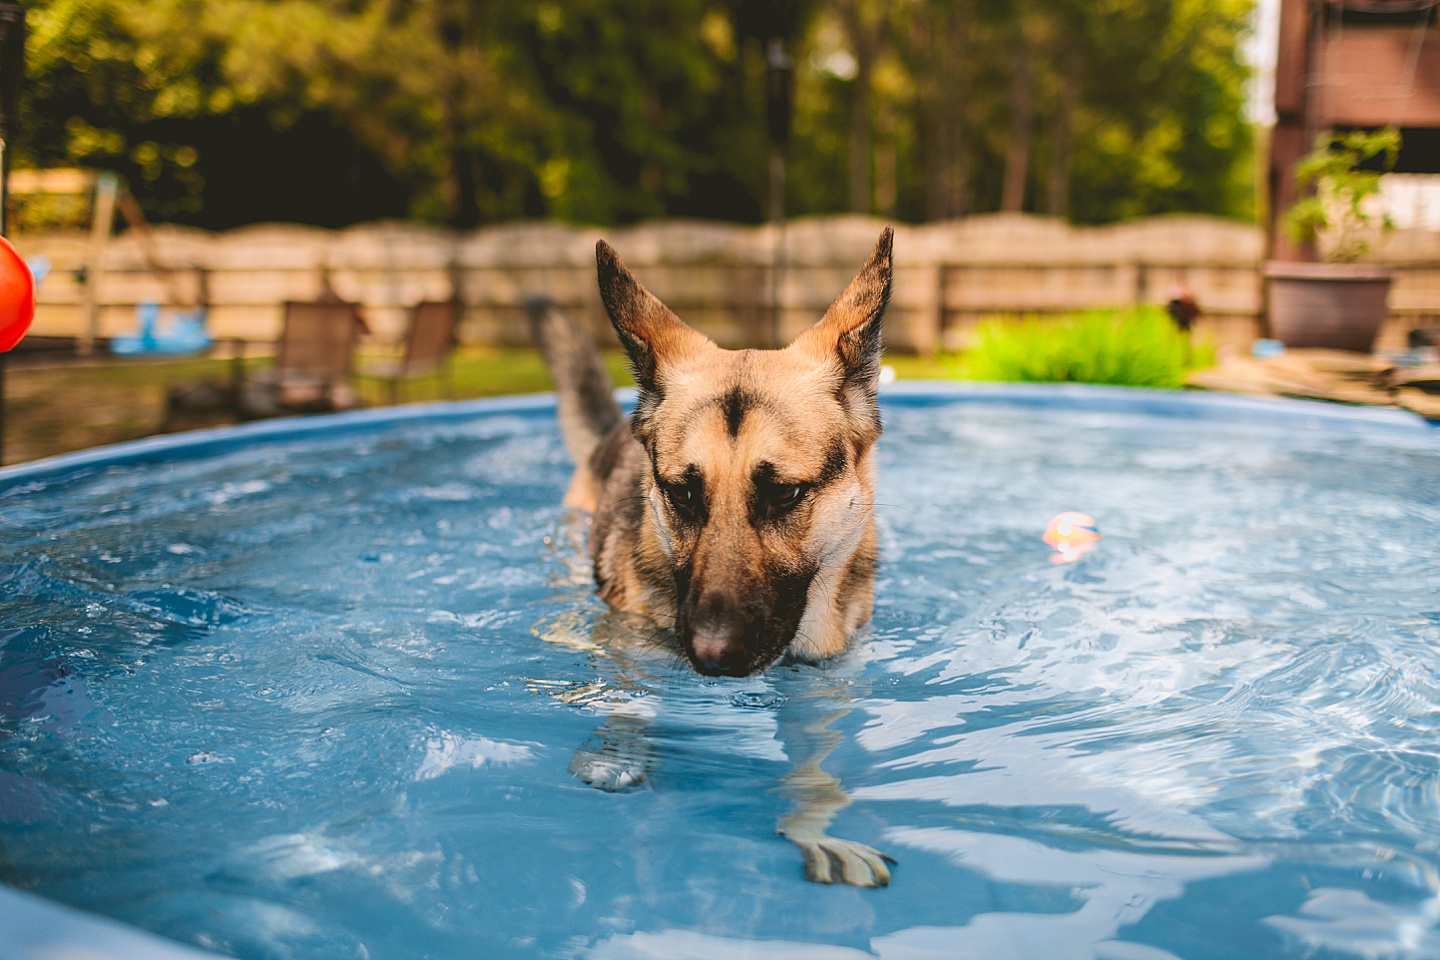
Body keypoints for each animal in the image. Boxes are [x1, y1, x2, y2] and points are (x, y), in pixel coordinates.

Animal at [524, 225, 892, 886]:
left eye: (784, 494)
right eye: (682, 493)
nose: (712, 656)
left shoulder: (822, 680)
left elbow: (816, 751)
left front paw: (814, 818)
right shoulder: (631, 636)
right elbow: (628, 689)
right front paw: (618, 741)